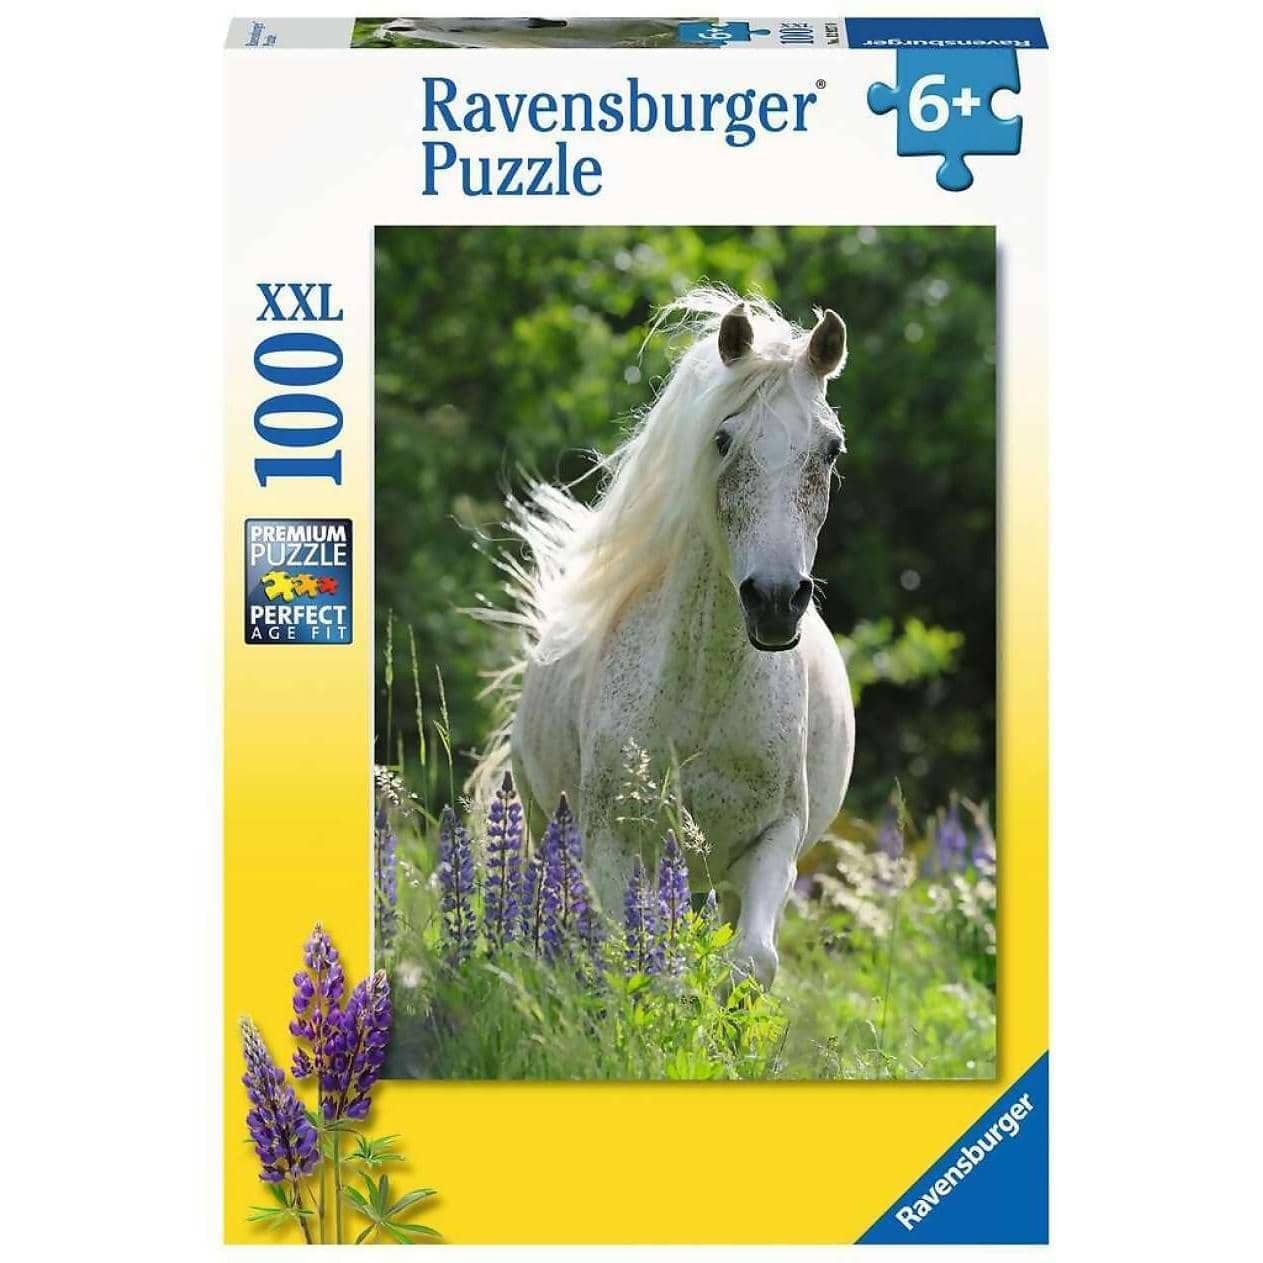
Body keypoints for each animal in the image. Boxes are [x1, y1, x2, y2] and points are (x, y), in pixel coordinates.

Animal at [481, 287, 854, 987]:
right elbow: (633, 959)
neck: (704, 700)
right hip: (547, 825)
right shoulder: (612, 844)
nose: (774, 602)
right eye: (723, 438)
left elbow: (751, 962)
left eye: (831, 450)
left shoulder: (773, 842)